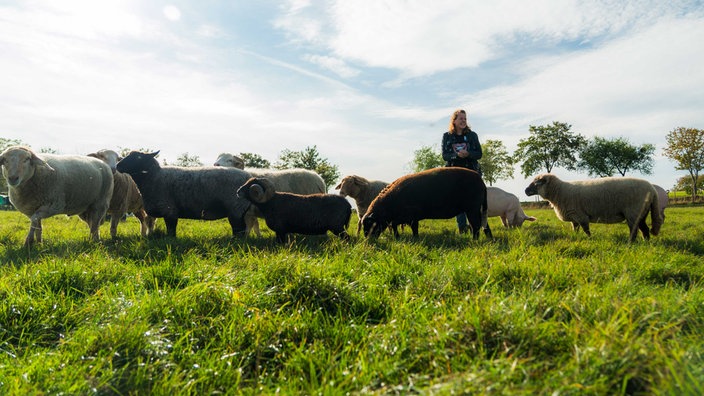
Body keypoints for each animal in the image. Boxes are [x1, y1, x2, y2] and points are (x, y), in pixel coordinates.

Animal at [117, 151, 254, 238]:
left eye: (138, 158)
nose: (118, 165)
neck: (154, 176)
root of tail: (248, 177)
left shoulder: (170, 211)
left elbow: (171, 231)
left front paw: (171, 241)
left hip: (235, 209)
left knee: (239, 229)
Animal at [360, 166, 492, 240]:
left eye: (370, 224)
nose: (368, 241)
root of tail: (481, 181)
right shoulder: (406, 218)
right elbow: (400, 226)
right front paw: (405, 237)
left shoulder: (410, 216)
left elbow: (404, 226)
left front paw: (409, 238)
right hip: (476, 209)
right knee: (482, 224)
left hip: (472, 208)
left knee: (475, 225)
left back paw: (474, 240)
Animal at [524, 175, 664, 243]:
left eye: (536, 183)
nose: (525, 191)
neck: (559, 192)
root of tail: (652, 190)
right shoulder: (574, 217)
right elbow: (575, 229)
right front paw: (576, 237)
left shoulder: (581, 215)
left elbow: (586, 230)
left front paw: (590, 239)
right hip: (641, 212)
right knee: (644, 229)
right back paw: (646, 242)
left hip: (633, 212)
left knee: (634, 229)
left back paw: (631, 242)